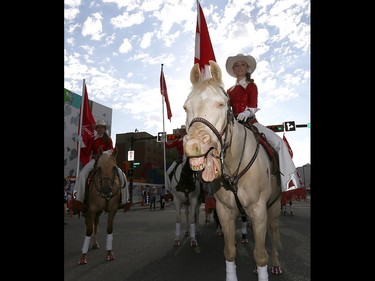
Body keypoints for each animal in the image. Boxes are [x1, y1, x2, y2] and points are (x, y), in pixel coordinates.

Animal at [184, 61, 284, 280]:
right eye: (186, 107)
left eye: (222, 104)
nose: (193, 145)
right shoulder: (224, 211)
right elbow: (229, 251)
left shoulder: (259, 210)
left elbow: (261, 254)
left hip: (273, 208)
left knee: (273, 235)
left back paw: (275, 264)